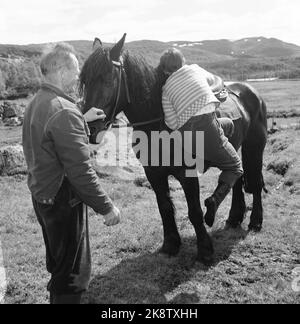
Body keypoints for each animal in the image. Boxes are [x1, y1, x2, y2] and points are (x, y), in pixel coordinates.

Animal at [79, 34, 268, 264]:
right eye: (85, 81)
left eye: (108, 79)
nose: (90, 127)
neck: (158, 124)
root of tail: (250, 92)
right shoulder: (154, 174)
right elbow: (165, 208)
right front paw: (170, 244)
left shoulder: (187, 174)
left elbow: (194, 211)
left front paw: (205, 249)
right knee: (237, 178)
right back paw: (234, 218)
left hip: (254, 148)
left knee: (255, 182)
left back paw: (255, 221)